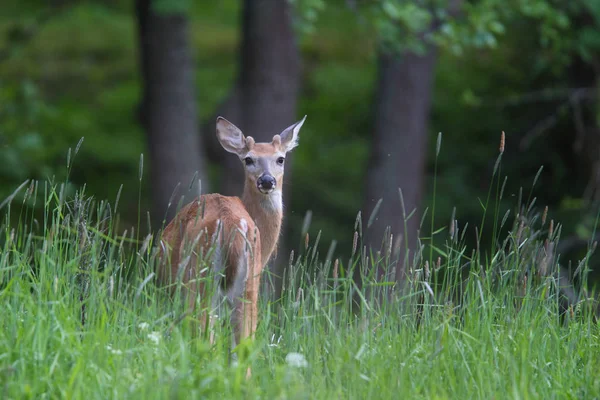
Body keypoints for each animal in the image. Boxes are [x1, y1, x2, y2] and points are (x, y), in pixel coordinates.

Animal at [157, 115, 308, 356]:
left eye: (280, 159)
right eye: (248, 159)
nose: (267, 181)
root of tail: (229, 225)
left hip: (199, 279)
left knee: (203, 333)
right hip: (245, 287)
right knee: (241, 344)